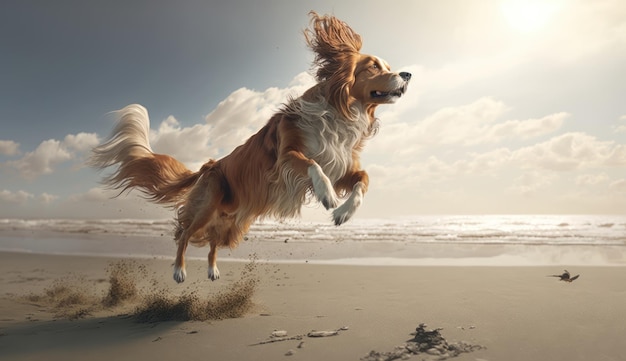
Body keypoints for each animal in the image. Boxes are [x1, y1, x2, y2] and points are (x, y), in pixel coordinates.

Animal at [88, 10, 410, 282]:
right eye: (373, 66)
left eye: (389, 67)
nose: (407, 75)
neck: (341, 111)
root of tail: (209, 164)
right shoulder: (287, 157)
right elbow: (312, 164)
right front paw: (328, 196)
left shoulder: (341, 165)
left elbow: (364, 180)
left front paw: (343, 212)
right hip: (208, 204)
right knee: (184, 233)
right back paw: (179, 271)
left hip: (233, 224)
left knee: (212, 242)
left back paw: (213, 270)